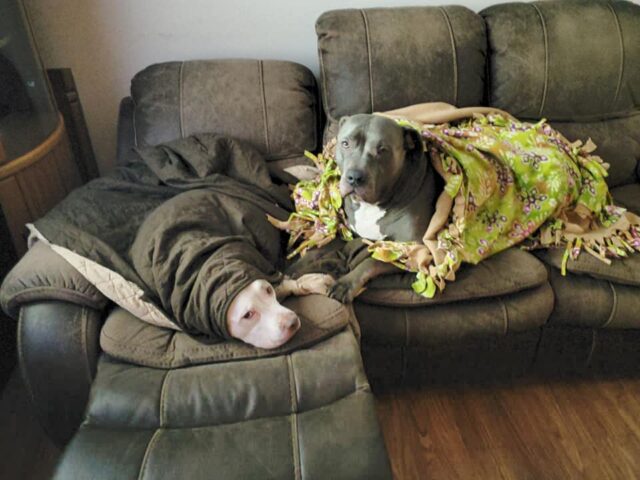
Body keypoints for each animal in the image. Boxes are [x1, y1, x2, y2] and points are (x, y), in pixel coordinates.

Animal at [328, 114, 438, 302]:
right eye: (345, 143)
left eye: (382, 150)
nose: (354, 177)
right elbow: (356, 245)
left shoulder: (415, 251)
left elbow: (373, 261)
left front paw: (346, 283)